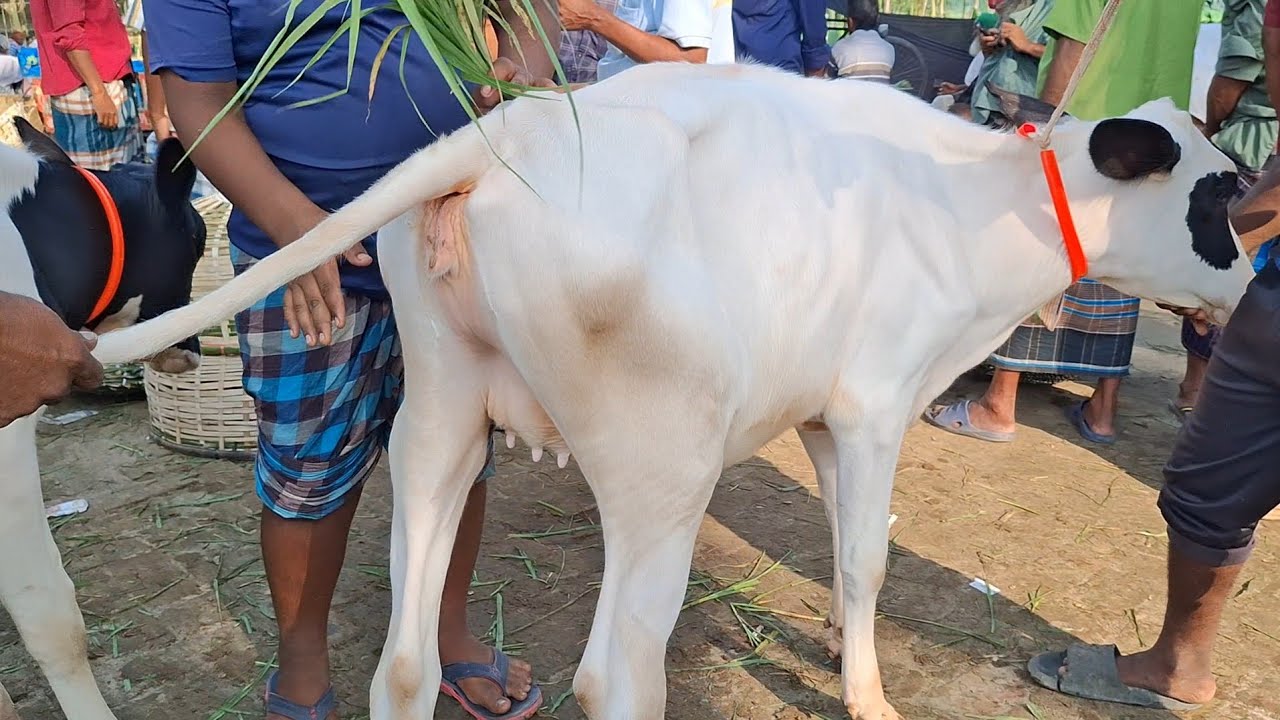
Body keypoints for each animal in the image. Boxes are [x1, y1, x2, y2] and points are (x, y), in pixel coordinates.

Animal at [91, 61, 1256, 720]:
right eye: (1218, 193)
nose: (1249, 283)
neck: (970, 203)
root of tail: (506, 132)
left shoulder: (822, 415)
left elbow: (843, 548)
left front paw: (840, 650)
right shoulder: (876, 403)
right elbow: (869, 556)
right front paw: (870, 697)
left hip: (438, 419)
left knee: (406, 667)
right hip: (664, 471)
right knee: (617, 679)